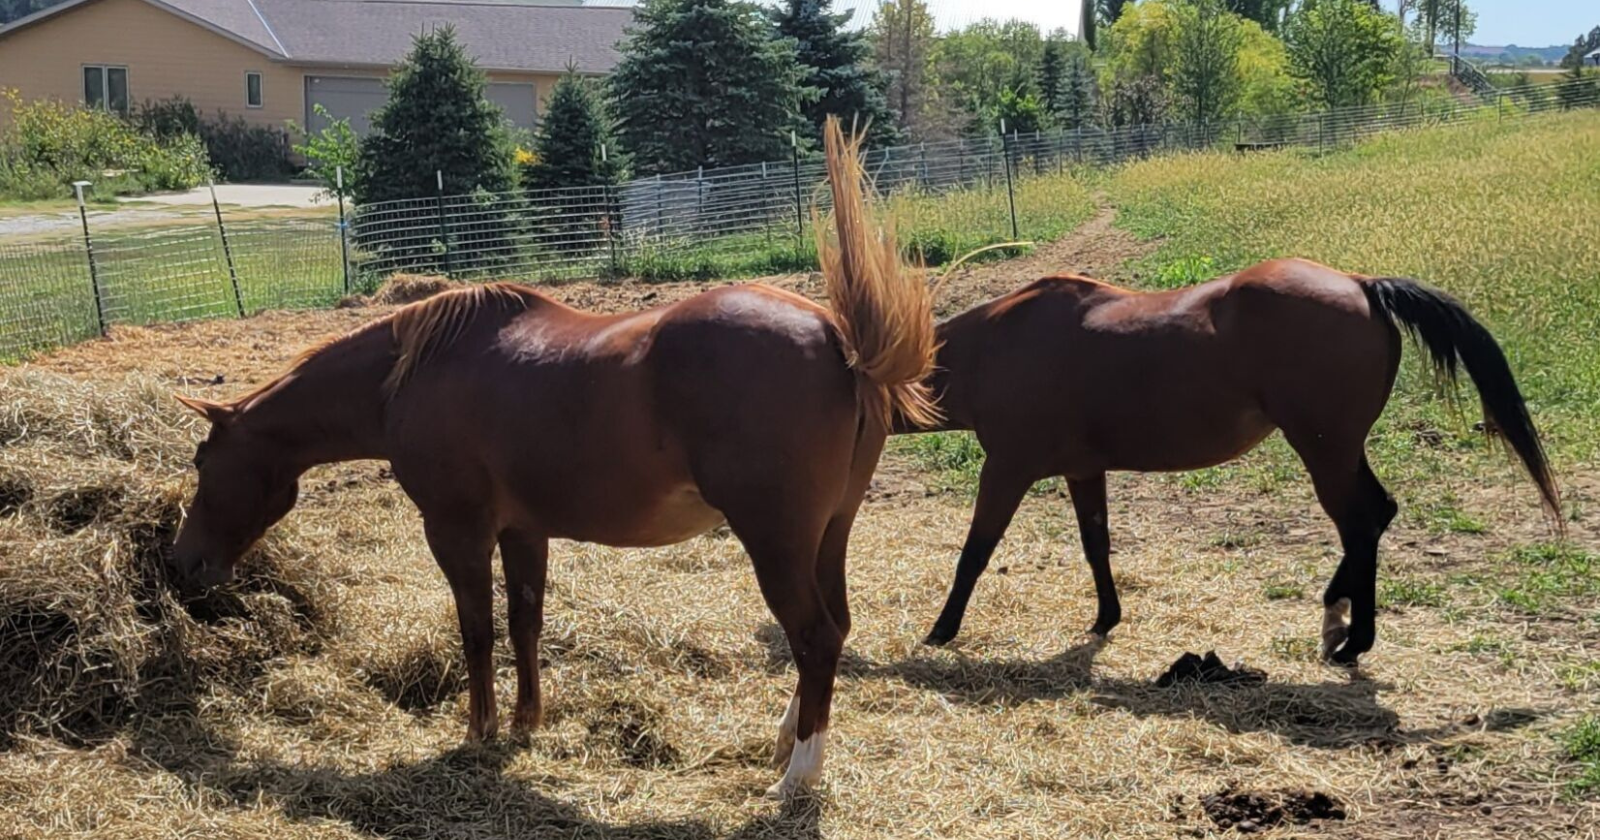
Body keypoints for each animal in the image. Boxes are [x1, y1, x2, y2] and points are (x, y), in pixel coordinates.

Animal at [168, 119, 939, 798]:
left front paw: (478, 730)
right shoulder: (523, 530)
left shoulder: (457, 531)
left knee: (813, 637)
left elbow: (477, 629)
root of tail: (839, 338)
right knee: (833, 629)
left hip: (776, 541)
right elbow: (525, 621)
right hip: (828, 534)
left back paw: (798, 775)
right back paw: (786, 742)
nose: (183, 564)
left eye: (204, 463)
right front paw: (525, 721)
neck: (413, 374)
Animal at [905, 258, 1560, 666]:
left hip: (1324, 450)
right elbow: (1097, 547)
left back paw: (1354, 641)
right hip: (1342, 450)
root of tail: (1360, 283)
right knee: (1378, 513)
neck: (998, 345)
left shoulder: (1006, 467)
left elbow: (974, 553)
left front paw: (941, 630)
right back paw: (1337, 616)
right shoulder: (1083, 470)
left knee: (1359, 525)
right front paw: (1105, 618)